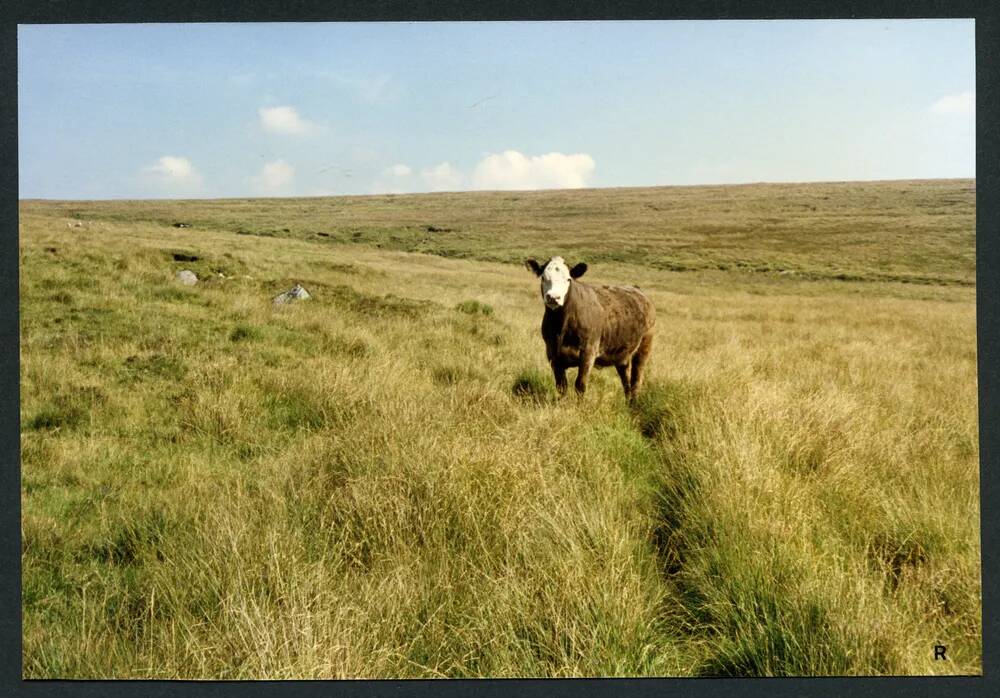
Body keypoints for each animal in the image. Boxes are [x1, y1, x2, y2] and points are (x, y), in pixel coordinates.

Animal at [524, 254, 656, 396]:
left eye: (568, 279)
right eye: (543, 277)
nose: (554, 297)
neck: (561, 326)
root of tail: (636, 289)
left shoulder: (588, 352)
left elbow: (580, 385)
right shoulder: (552, 354)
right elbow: (561, 386)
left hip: (644, 348)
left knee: (637, 380)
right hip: (622, 354)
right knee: (626, 382)